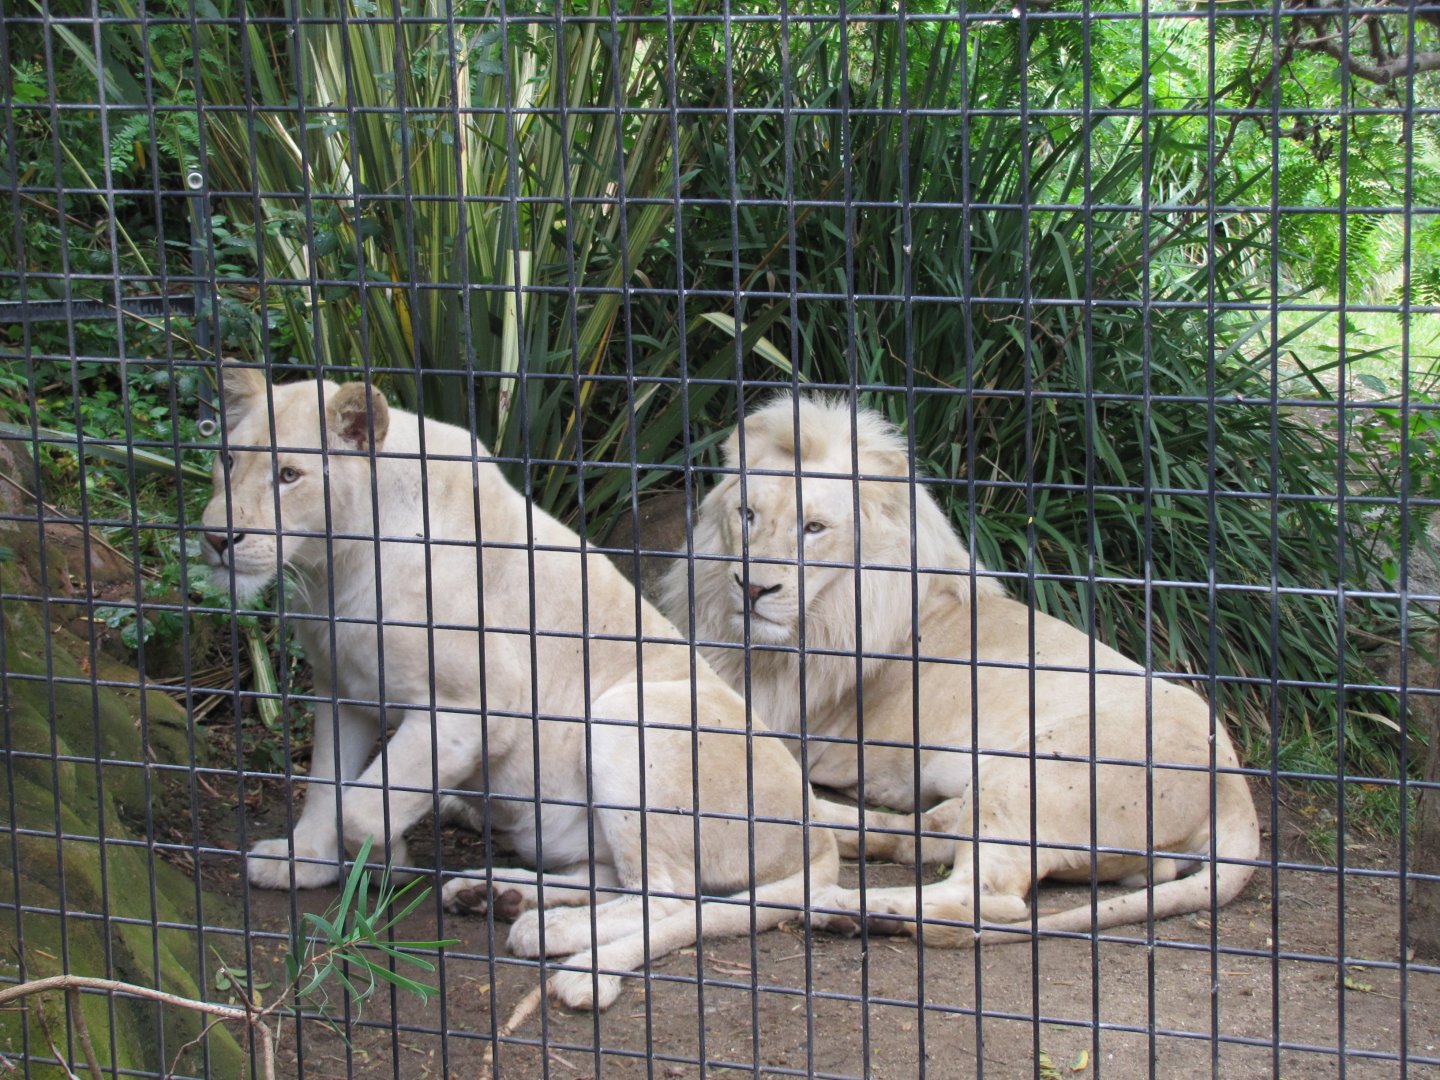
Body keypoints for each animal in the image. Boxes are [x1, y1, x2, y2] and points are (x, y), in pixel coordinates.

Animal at [199, 367, 859, 1010]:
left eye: (289, 474)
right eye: (228, 460)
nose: (216, 538)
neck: (335, 567)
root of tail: (816, 832)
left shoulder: (473, 706)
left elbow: (360, 807)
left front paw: (387, 861)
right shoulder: (342, 688)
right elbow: (323, 785)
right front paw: (303, 861)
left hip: (624, 714)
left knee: (670, 893)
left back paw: (550, 932)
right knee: (617, 879)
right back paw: (496, 895)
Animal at [659, 396, 1260, 945]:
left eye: (814, 527)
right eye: (747, 515)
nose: (753, 588)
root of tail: (1235, 792)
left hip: (1031, 775)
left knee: (989, 896)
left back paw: (854, 909)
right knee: (921, 837)